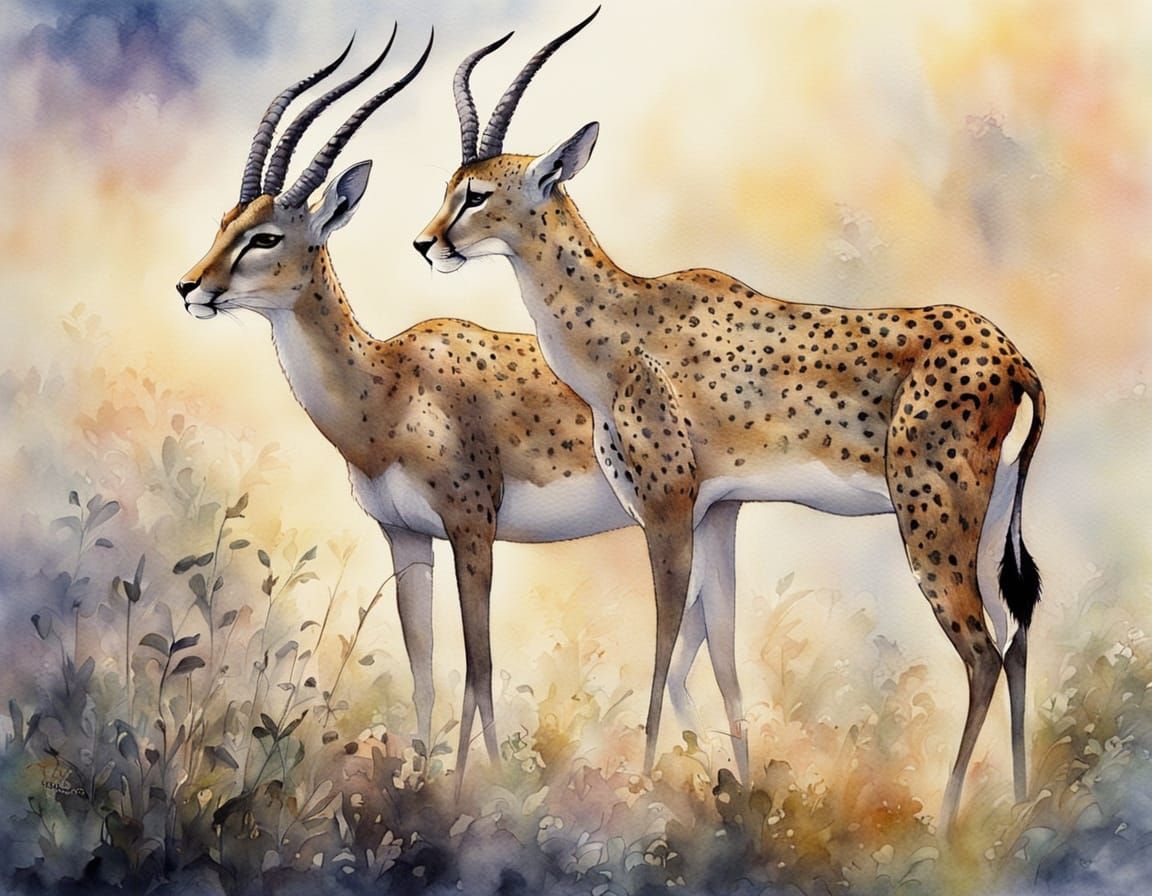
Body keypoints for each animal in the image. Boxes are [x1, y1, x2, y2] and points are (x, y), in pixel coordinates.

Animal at [175, 30, 747, 789]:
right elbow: (424, 670)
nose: (189, 288)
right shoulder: (405, 537)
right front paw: (422, 779)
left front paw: (481, 788)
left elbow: (479, 666)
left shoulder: (472, 529)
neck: (387, 387)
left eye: (266, 237)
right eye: (226, 223)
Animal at [414, 10, 1045, 828]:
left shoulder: (666, 508)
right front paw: (737, 787)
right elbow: (718, 654)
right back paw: (1027, 801)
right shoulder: (719, 512)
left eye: (478, 194)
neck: (620, 325)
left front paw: (644, 785)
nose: (427, 243)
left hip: (931, 521)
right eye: (449, 188)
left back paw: (946, 821)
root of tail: (1013, 356)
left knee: (981, 654)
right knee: (1019, 636)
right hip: (988, 520)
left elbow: (661, 648)